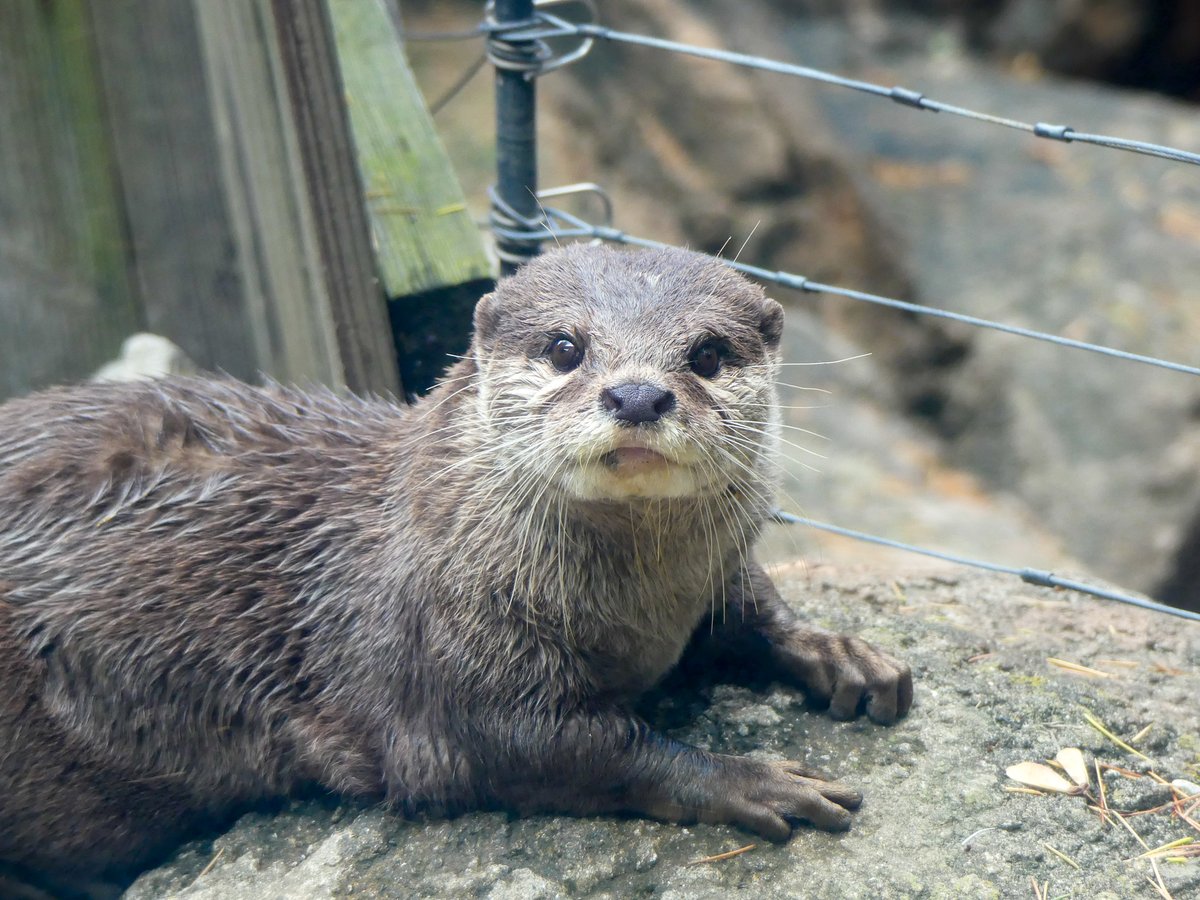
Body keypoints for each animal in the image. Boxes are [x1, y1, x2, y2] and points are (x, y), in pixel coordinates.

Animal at [0, 244, 907, 897]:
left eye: (709, 354)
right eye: (566, 347)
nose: (639, 396)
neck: (639, 614)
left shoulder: (710, 579)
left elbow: (750, 610)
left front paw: (840, 653)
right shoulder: (441, 669)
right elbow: (571, 748)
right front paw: (750, 779)